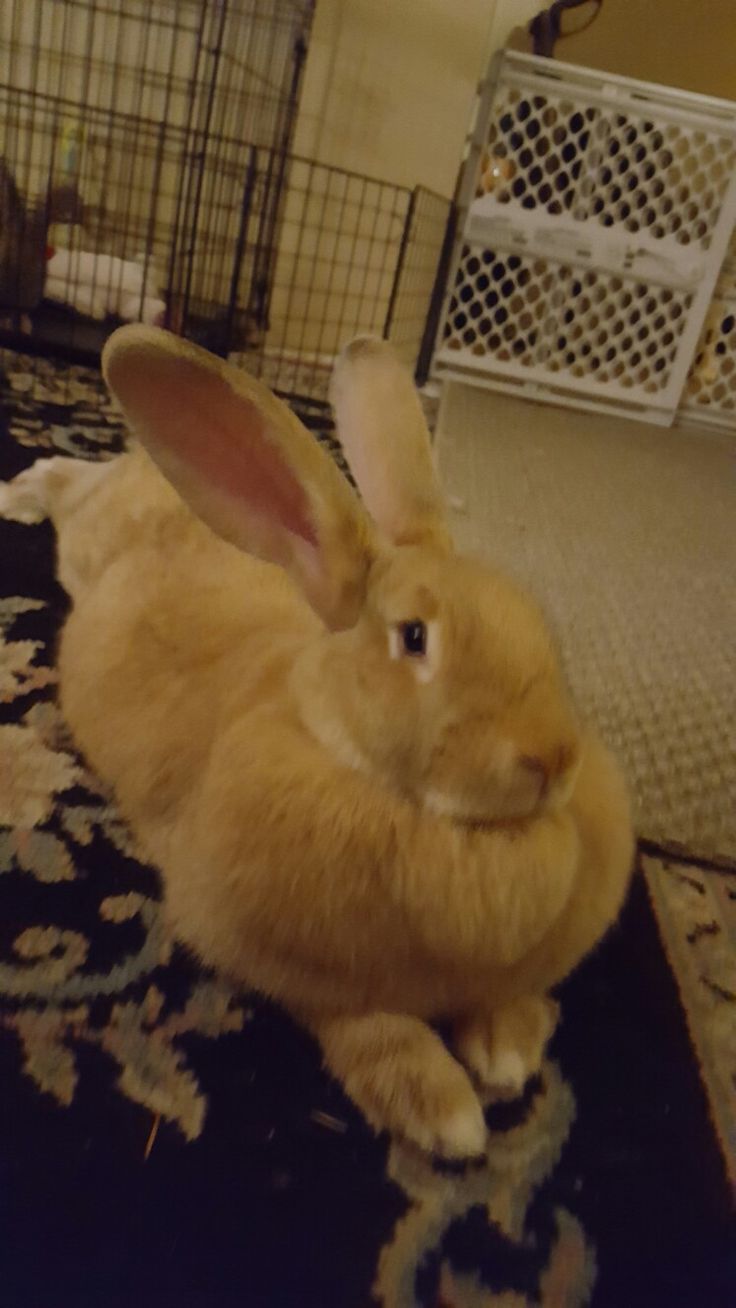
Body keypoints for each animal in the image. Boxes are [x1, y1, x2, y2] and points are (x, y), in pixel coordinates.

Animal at [0, 332, 632, 1161]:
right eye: (415, 638)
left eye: (535, 621)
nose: (552, 758)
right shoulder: (281, 963)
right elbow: (367, 1026)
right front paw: (445, 1112)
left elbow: (507, 1000)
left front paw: (510, 1046)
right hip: (87, 532)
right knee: (68, 481)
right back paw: (16, 494)